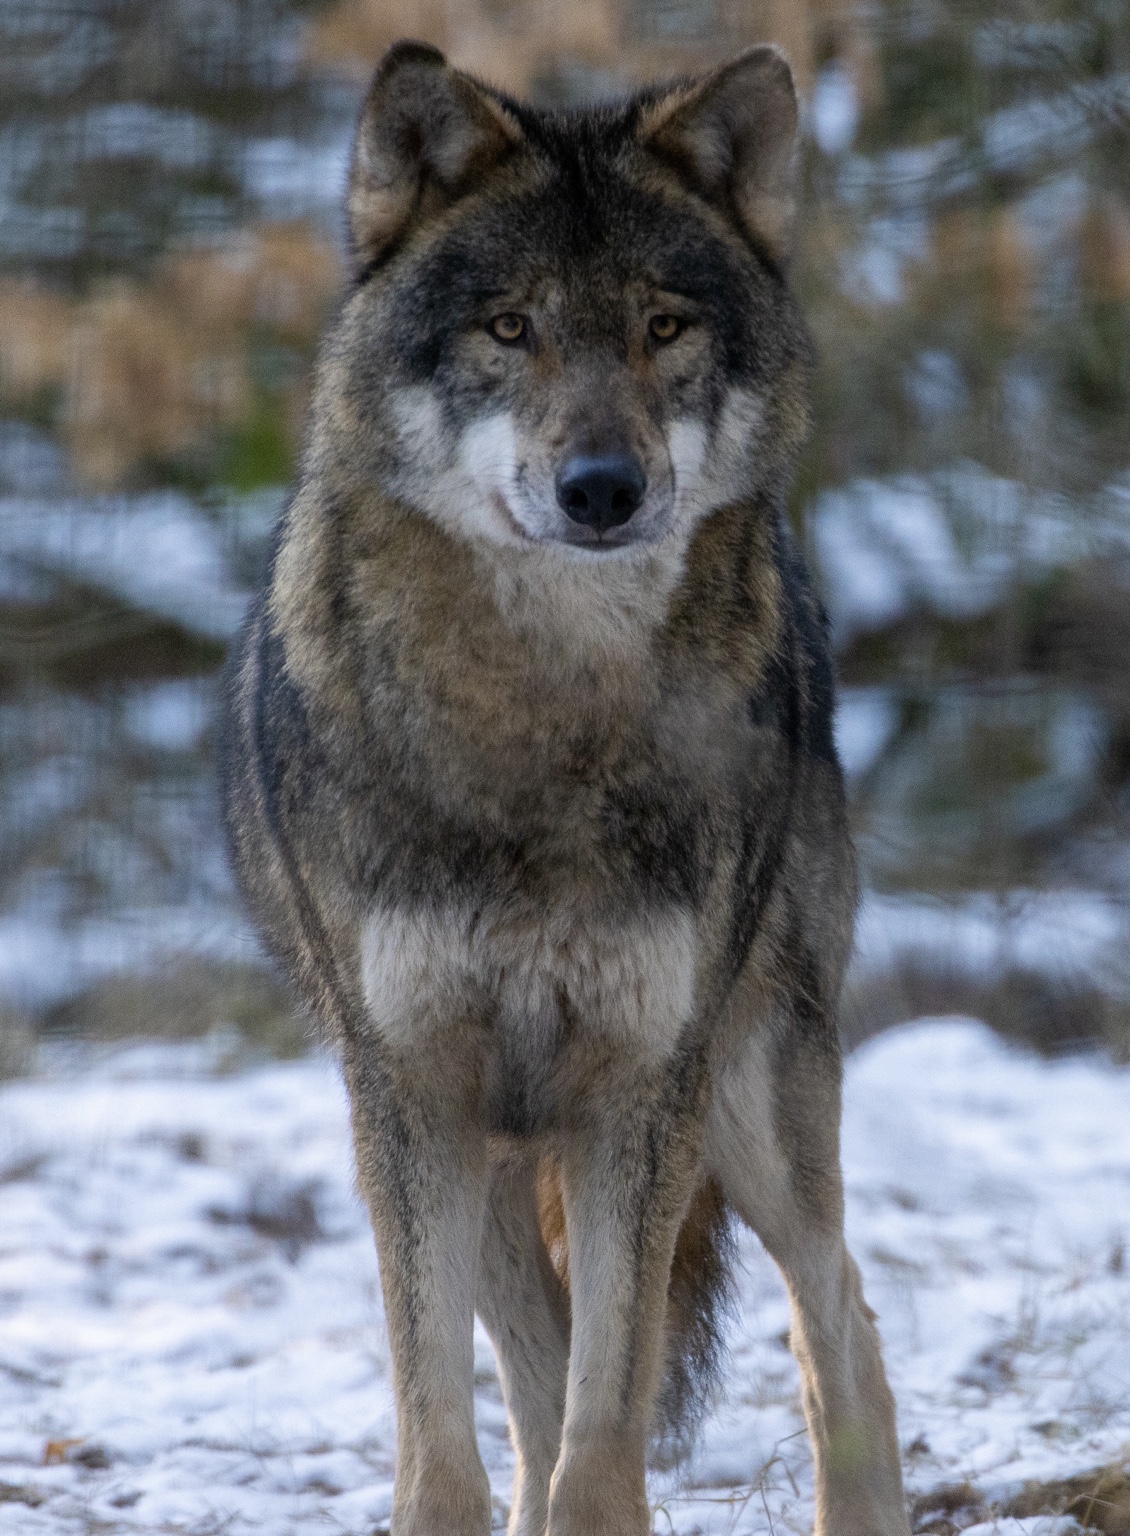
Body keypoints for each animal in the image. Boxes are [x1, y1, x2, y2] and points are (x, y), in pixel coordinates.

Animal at [220, 37, 910, 1536]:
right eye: (508, 329)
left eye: (660, 327)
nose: (603, 487)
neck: (542, 723)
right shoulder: (409, 1096)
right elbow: (450, 1444)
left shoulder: (641, 1097)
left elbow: (605, 1444)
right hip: (479, 1154)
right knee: (532, 1387)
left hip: (752, 1100)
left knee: (840, 1319)